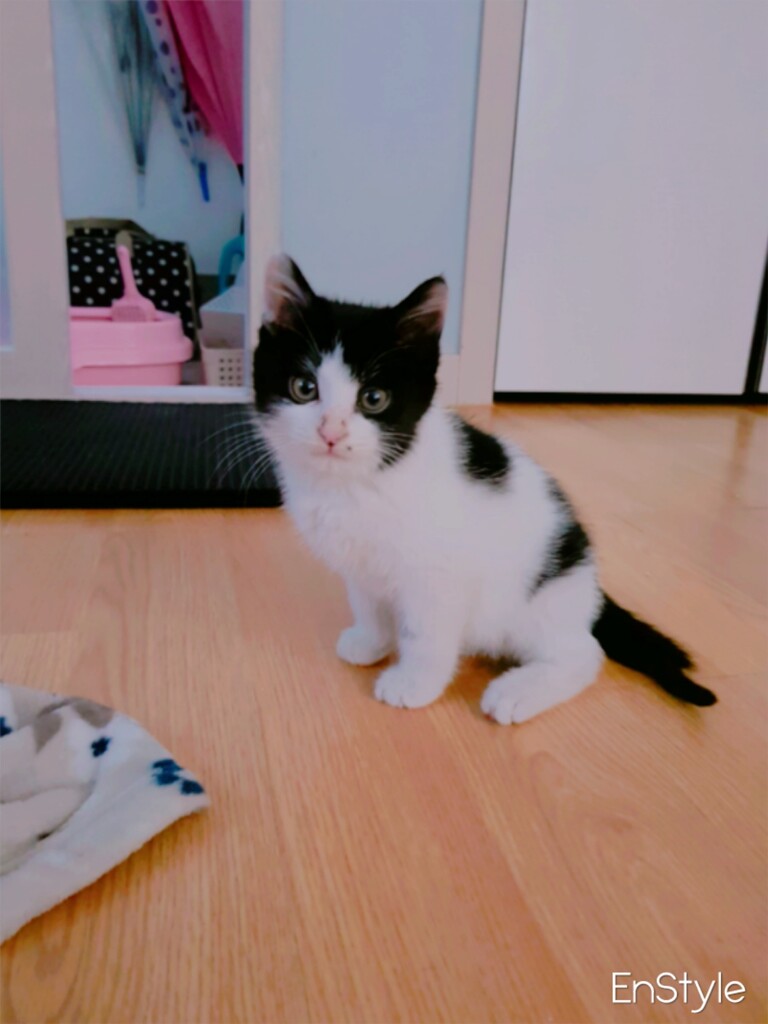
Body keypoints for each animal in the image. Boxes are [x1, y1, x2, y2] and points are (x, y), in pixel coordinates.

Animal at [252, 254, 716, 723]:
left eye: (374, 398)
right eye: (304, 388)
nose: (330, 432)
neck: (359, 482)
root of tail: (590, 587)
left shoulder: (440, 573)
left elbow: (426, 632)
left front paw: (414, 683)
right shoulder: (360, 562)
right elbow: (367, 601)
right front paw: (370, 641)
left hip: (533, 601)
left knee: (585, 654)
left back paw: (518, 692)